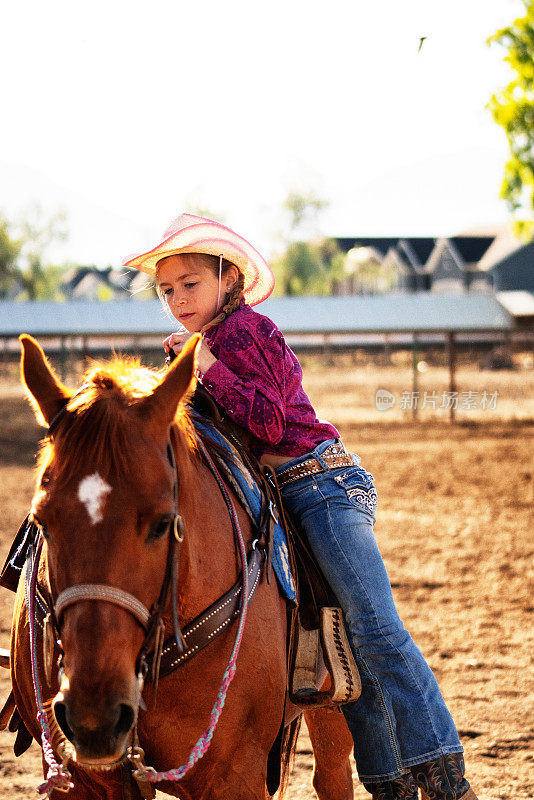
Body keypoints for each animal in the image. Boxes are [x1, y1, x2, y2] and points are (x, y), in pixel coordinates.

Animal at [5, 336, 356, 800]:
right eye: (42, 520)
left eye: (161, 523)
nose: (93, 715)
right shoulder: (83, 781)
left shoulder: (235, 775)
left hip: (332, 709)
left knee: (332, 772)